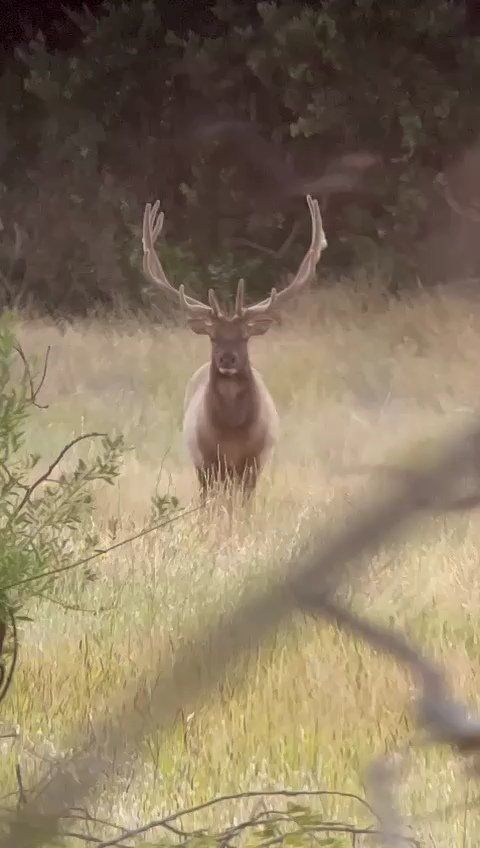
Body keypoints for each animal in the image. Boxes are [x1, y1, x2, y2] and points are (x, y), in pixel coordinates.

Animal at [141, 194, 327, 502]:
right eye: (213, 337)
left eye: (244, 336)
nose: (227, 359)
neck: (231, 437)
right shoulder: (205, 460)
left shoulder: (255, 460)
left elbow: (245, 505)